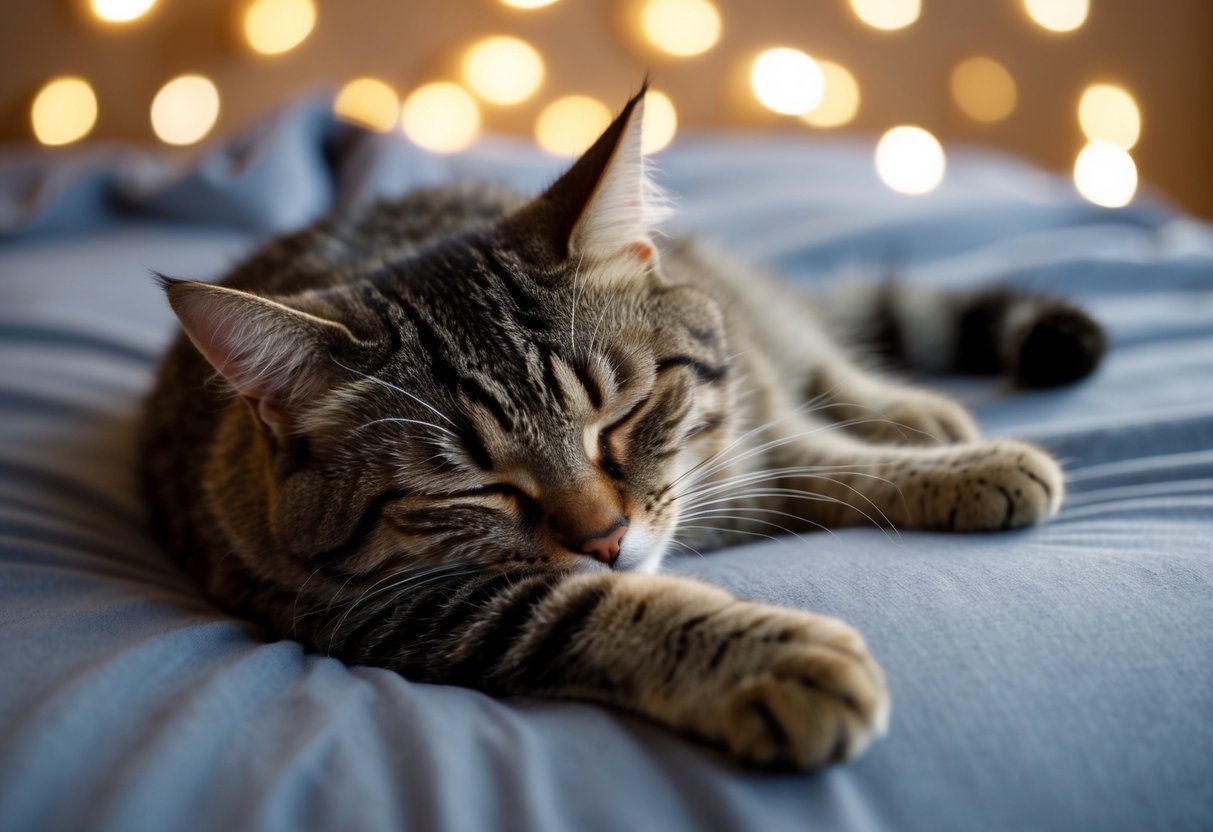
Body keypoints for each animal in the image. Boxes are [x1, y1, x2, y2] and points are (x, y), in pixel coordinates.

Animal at [139, 87, 1101, 771]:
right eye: (475, 487)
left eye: (622, 417)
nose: (604, 537)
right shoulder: (403, 613)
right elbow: (594, 609)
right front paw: (773, 656)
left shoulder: (735, 434)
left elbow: (824, 454)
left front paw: (962, 467)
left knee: (814, 354)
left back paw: (916, 412)